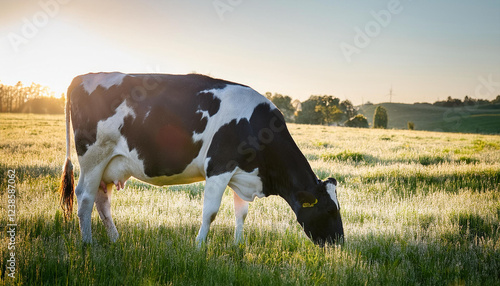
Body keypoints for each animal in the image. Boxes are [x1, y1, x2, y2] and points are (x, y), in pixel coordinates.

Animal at [56, 71, 342, 246]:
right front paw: (198, 247)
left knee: (102, 201)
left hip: (108, 164)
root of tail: (83, 77)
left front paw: (238, 246)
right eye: (329, 209)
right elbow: (211, 212)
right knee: (85, 198)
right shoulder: (219, 166)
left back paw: (115, 239)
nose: (339, 242)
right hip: (93, 157)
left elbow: (242, 213)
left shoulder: (242, 172)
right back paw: (88, 243)